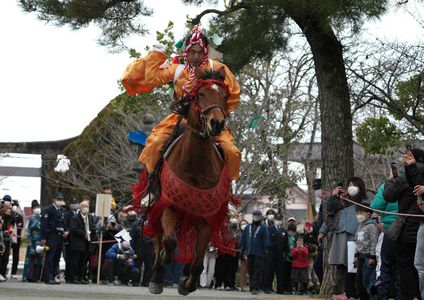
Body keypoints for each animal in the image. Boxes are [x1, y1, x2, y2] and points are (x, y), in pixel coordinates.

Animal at [145, 65, 238, 296]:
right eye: (201, 94)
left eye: (224, 96)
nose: (216, 123)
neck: (195, 165)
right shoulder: (169, 204)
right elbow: (169, 242)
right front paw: (165, 261)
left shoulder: (206, 215)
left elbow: (198, 262)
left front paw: (187, 282)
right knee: (159, 238)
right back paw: (156, 276)